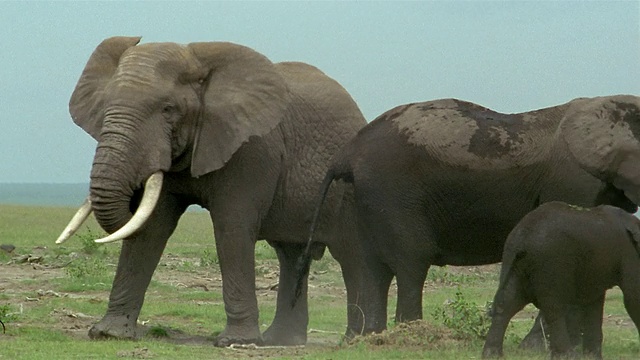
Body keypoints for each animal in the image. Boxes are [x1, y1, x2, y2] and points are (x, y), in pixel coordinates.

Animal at [57, 35, 368, 346]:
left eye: (168, 109)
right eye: (105, 107)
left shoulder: (251, 148)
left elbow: (231, 227)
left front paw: (235, 342)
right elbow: (151, 228)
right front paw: (109, 334)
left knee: (351, 255)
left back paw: (355, 339)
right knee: (290, 254)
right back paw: (283, 341)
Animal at [296, 95, 640, 340]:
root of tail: (347, 152)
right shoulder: (575, 181)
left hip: (365, 198)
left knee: (369, 267)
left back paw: (368, 339)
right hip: (392, 192)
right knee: (410, 261)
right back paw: (412, 335)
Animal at [482, 201, 640, 358]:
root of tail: (521, 237)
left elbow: (594, 301)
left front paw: (592, 357)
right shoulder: (628, 252)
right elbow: (633, 296)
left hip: (518, 264)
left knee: (508, 302)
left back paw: (492, 355)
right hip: (550, 262)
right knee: (554, 307)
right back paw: (567, 355)